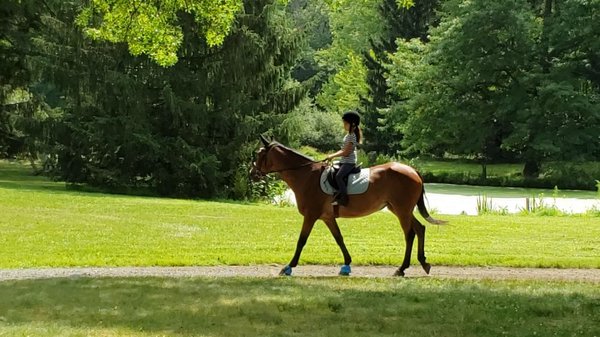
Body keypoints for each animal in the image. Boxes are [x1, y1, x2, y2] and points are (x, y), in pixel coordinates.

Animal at [250, 135, 446, 276]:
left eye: (259, 154)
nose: (252, 173)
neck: (306, 175)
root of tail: (412, 170)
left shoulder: (311, 216)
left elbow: (302, 240)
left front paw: (289, 267)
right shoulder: (327, 217)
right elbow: (339, 239)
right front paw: (346, 265)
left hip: (402, 210)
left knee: (410, 234)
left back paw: (402, 268)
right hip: (399, 209)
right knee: (420, 229)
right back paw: (424, 263)